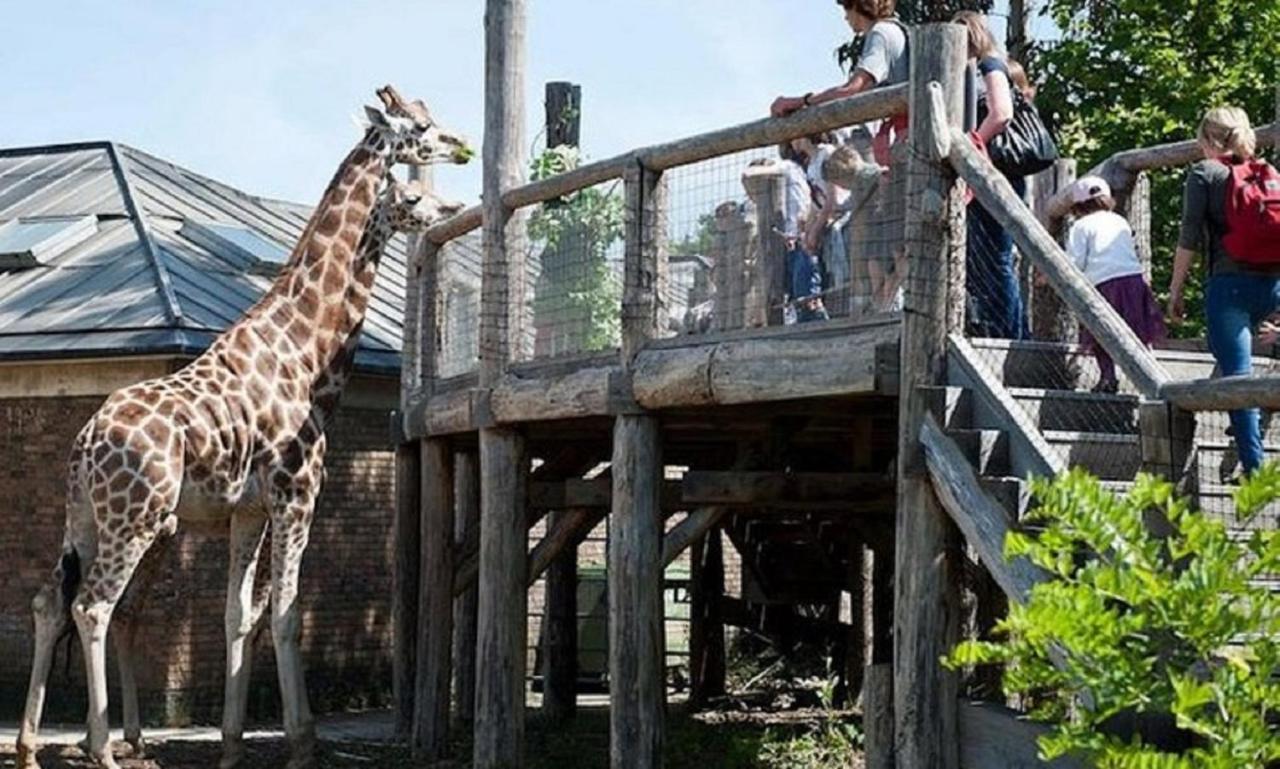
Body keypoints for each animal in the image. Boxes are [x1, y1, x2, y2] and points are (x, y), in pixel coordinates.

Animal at [13, 83, 476, 767]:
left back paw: (28, 745)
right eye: (419, 129)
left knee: (52, 601)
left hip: (87, 519)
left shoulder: (248, 509)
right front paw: (303, 742)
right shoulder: (297, 494)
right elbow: (284, 612)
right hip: (137, 519)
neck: (306, 349)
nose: (463, 148)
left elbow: (237, 615)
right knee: (94, 606)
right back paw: (101, 747)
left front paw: (232, 744)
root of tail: (85, 446)